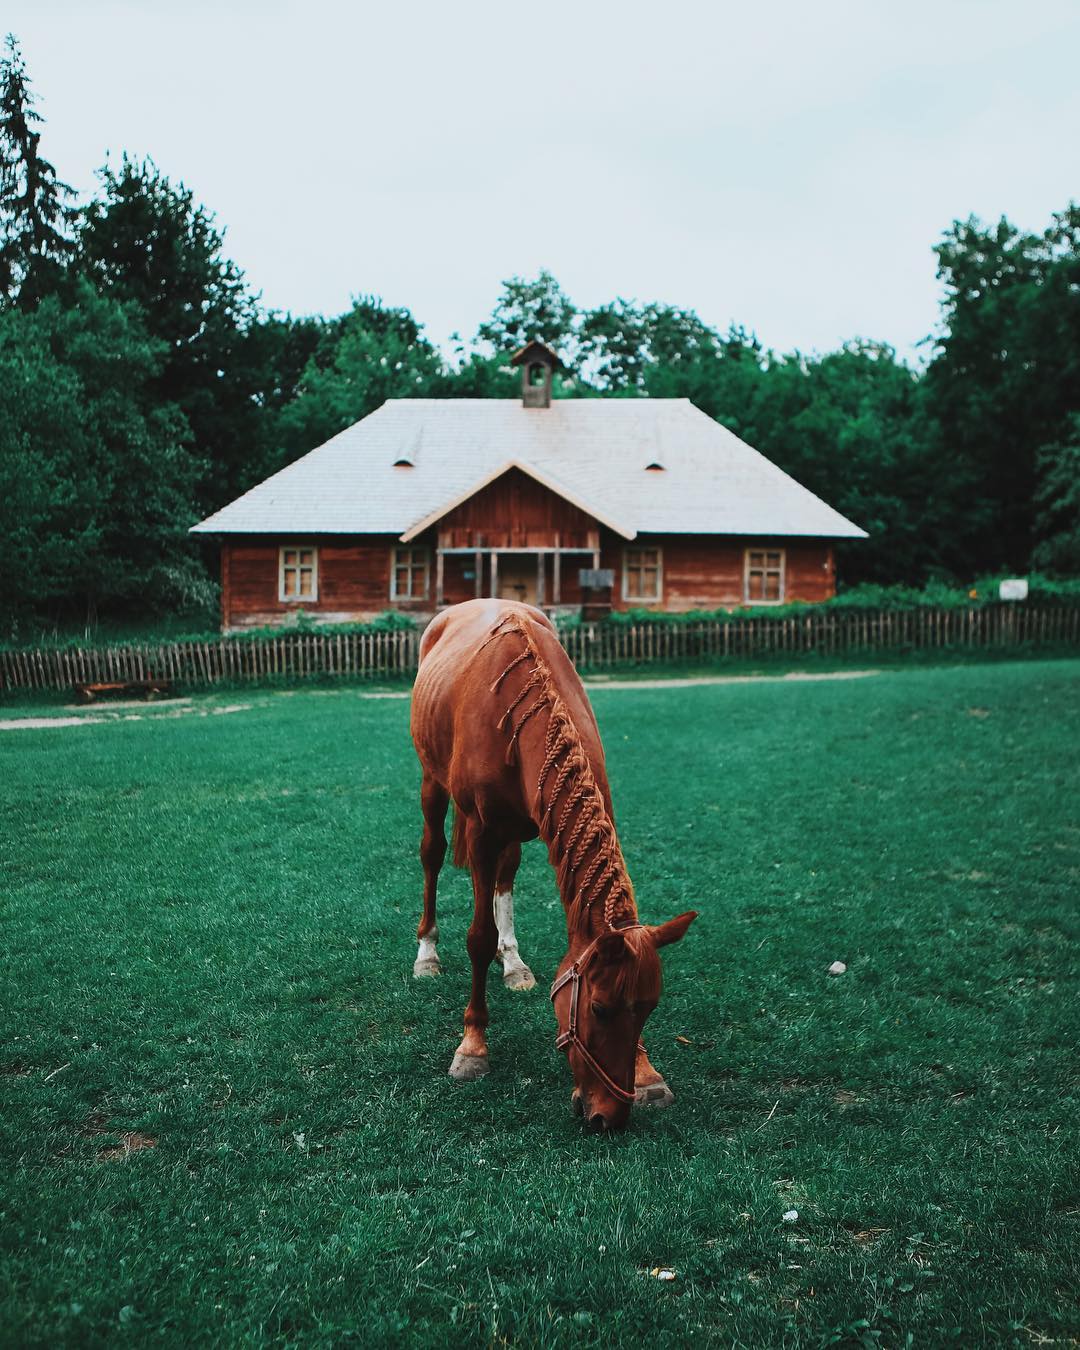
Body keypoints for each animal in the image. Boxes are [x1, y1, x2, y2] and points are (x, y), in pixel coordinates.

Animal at [410, 599, 696, 1128]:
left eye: (649, 1008)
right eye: (599, 1009)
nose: (610, 1118)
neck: (517, 712)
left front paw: (648, 1074)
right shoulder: (480, 831)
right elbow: (477, 938)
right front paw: (472, 1046)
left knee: (505, 876)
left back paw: (512, 960)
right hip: (431, 783)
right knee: (432, 855)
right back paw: (427, 953)